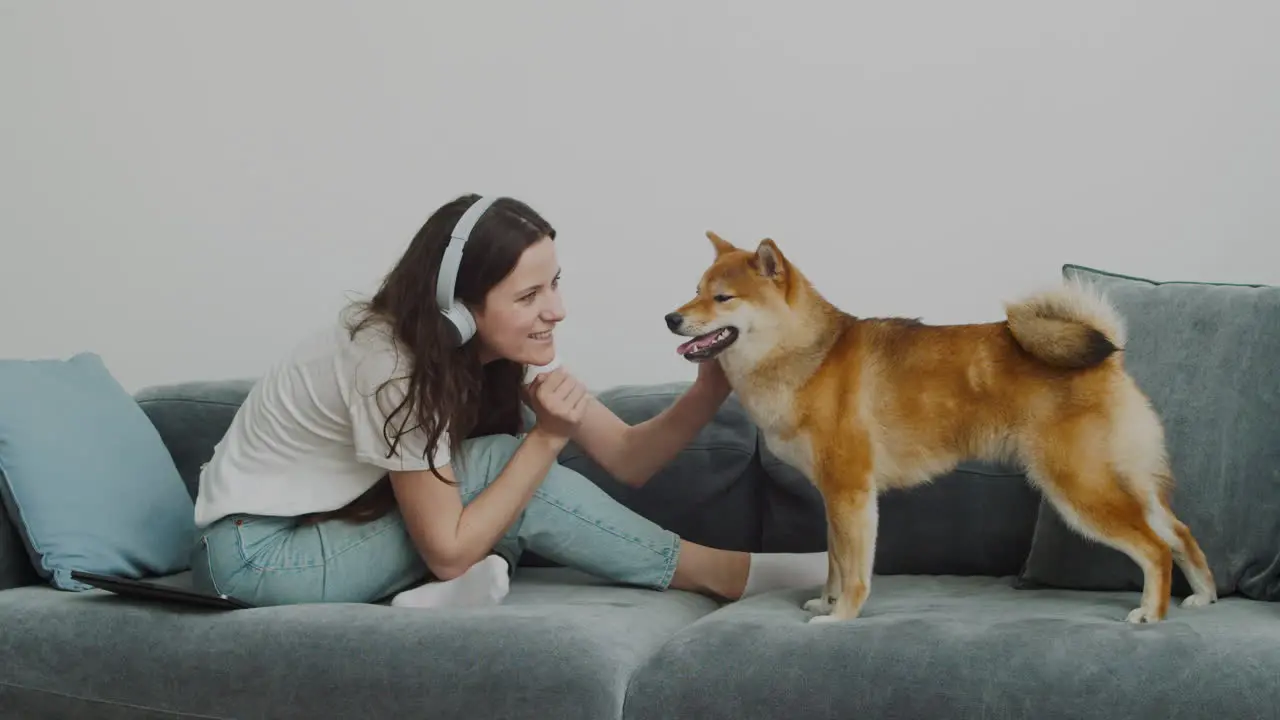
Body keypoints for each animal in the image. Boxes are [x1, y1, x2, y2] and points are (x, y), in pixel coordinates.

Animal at [665, 230, 1213, 622]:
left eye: (722, 298)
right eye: (695, 292)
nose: (671, 318)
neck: (808, 355)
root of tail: (1108, 356)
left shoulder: (851, 493)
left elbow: (855, 571)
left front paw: (839, 617)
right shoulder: (834, 499)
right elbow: (835, 563)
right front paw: (826, 601)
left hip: (1079, 488)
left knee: (1155, 549)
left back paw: (1151, 614)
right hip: (1130, 483)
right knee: (1180, 534)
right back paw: (1203, 597)